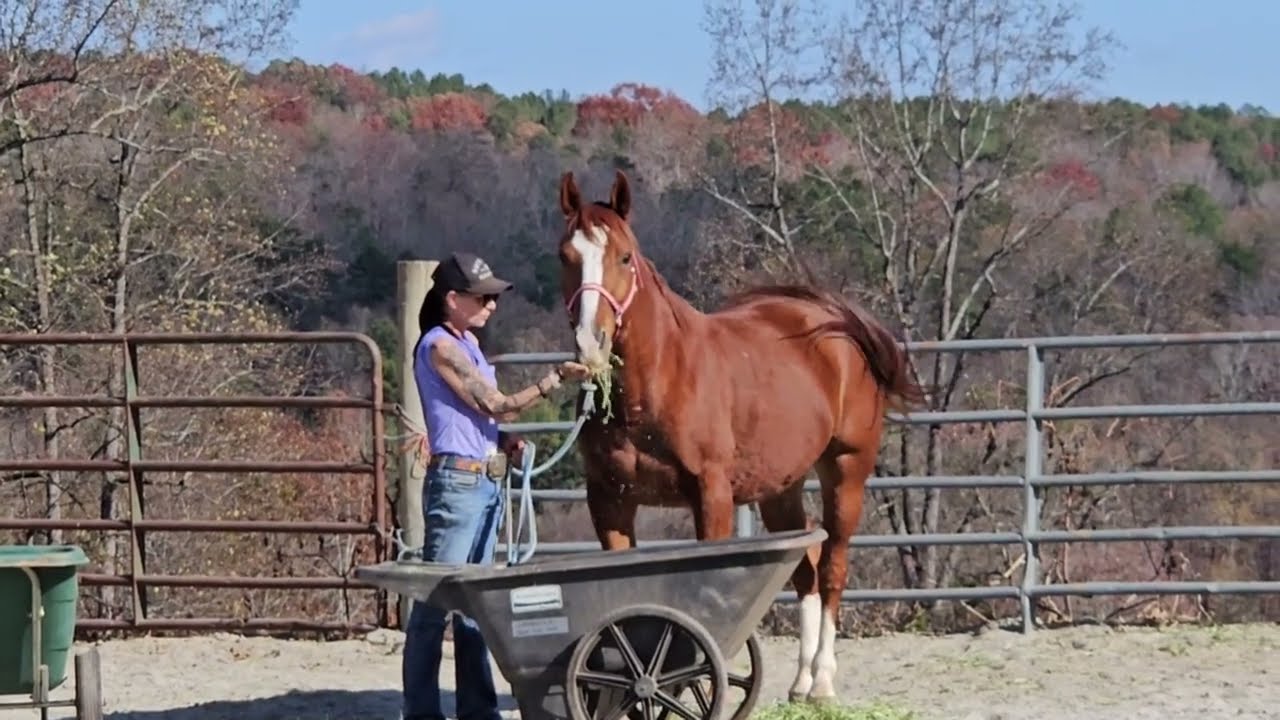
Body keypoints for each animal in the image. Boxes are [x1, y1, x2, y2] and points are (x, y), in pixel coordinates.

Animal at [553, 169, 928, 705]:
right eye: (566, 256)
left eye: (624, 257)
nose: (591, 343)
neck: (655, 386)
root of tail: (830, 321)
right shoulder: (609, 501)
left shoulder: (711, 497)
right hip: (779, 488)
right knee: (806, 567)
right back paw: (800, 682)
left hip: (846, 471)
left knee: (832, 567)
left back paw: (823, 681)